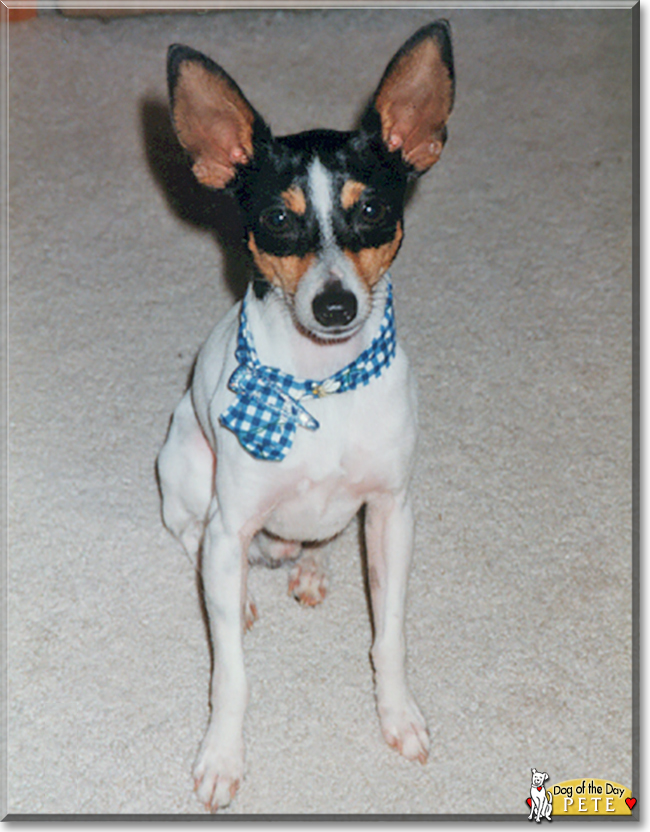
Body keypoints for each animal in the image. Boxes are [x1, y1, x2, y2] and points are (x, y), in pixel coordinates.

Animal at [156, 22, 450, 808]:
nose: (336, 305)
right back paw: (240, 591)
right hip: (185, 469)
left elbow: (390, 636)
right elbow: (230, 674)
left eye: (372, 211)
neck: (319, 389)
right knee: (193, 538)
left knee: (310, 543)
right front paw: (222, 756)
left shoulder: (392, 514)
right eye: (278, 220)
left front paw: (398, 715)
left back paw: (308, 568)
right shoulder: (231, 520)